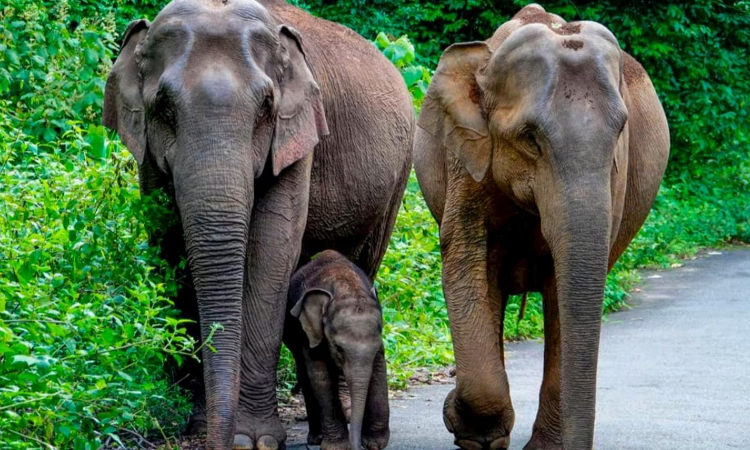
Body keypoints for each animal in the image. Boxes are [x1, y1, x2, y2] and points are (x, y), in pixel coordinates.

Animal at [284, 250, 389, 450]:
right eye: (339, 348)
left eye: (375, 347)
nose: (357, 446)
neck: (346, 287)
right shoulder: (310, 331)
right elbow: (320, 375)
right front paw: (337, 447)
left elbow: (379, 369)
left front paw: (375, 444)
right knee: (303, 371)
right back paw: (316, 438)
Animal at [413, 4, 669, 450]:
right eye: (530, 138)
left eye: (620, 131)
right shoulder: (466, 156)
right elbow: (464, 258)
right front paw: (462, 422)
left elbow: (564, 289)